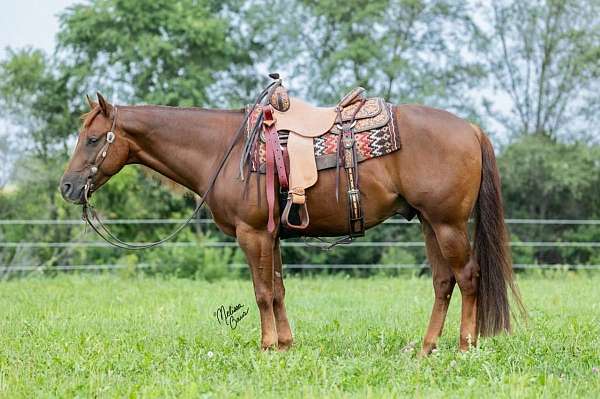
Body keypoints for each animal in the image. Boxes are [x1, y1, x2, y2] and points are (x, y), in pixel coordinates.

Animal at [58, 93, 524, 356]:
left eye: (94, 139)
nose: (67, 186)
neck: (222, 150)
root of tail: (472, 129)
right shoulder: (271, 235)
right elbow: (279, 291)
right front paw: (285, 344)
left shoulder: (251, 234)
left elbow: (262, 293)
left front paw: (266, 347)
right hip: (429, 223)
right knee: (444, 283)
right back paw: (426, 348)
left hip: (447, 224)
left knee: (469, 278)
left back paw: (464, 346)